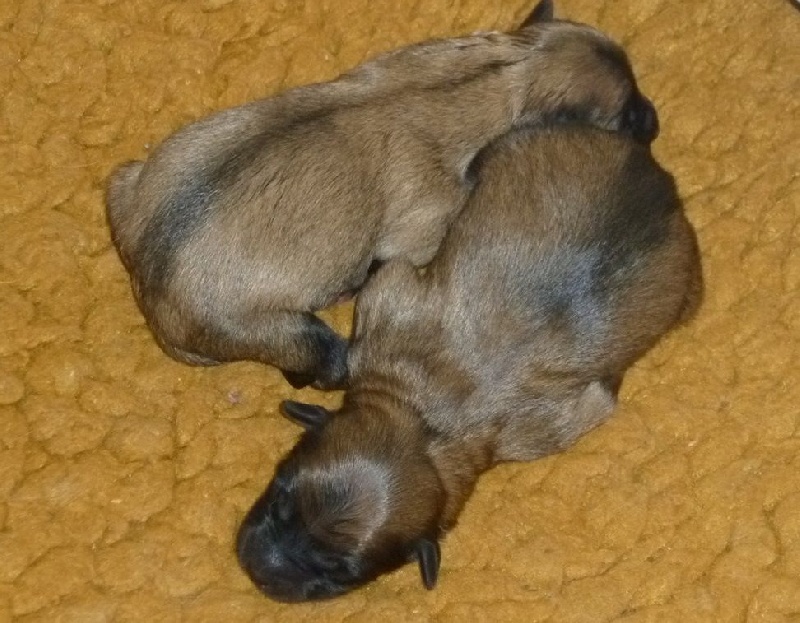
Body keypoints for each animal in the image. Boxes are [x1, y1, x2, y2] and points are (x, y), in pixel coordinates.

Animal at [104, 0, 656, 390]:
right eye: (626, 115)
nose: (655, 121)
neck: (505, 71)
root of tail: (148, 290)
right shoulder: (422, 229)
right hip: (285, 332)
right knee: (321, 362)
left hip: (126, 179)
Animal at [236, 125, 700, 600]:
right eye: (280, 495)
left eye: (340, 573)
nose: (257, 568)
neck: (426, 422)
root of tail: (658, 179)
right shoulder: (388, 301)